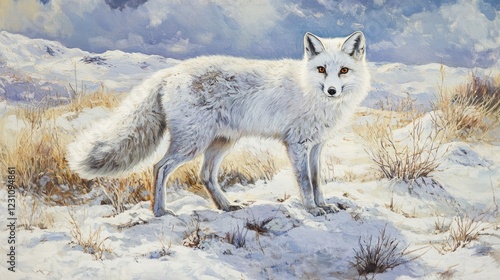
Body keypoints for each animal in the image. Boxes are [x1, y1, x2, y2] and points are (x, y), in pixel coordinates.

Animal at [66, 31, 370, 218]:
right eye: (321, 69)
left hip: (221, 143)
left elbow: (317, 180)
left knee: (205, 176)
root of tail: (170, 73)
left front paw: (324, 205)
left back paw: (225, 206)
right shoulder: (296, 144)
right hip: (193, 143)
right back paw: (160, 211)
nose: (332, 91)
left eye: (343, 70)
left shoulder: (317, 145)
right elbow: (305, 182)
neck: (311, 92)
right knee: (159, 167)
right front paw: (311, 209)